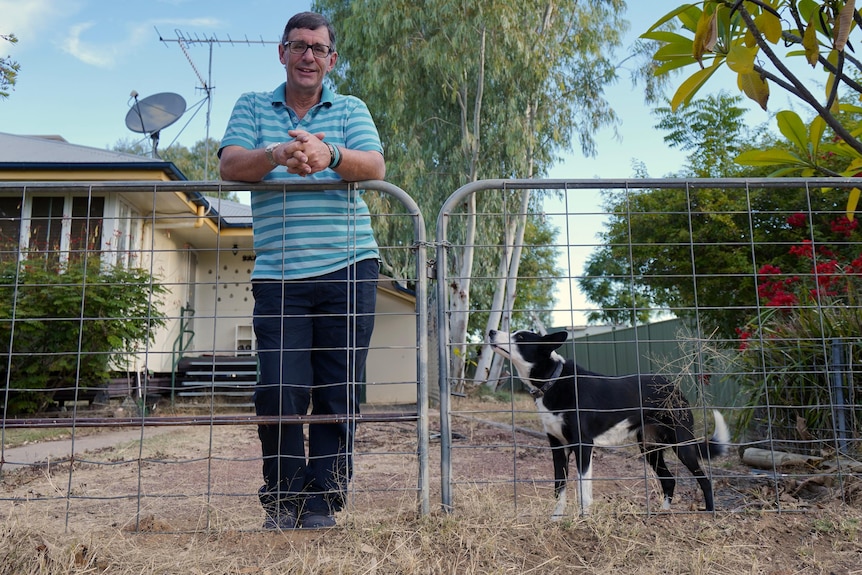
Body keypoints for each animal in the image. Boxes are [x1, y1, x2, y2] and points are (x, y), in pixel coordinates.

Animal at [486, 328, 728, 516]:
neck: (554, 380)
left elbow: (583, 491)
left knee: (704, 480)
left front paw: (583, 520)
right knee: (669, 480)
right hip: (649, 447)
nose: (490, 332)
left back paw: (709, 512)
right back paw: (662, 513)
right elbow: (559, 487)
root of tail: (674, 388)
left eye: (521, 337)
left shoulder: (583, 445)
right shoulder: (557, 446)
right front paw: (556, 519)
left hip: (681, 443)